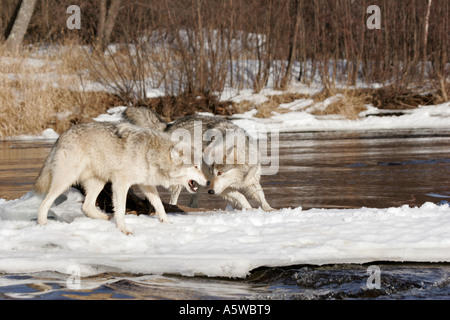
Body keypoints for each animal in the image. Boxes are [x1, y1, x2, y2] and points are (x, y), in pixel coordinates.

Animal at [34, 121, 207, 234]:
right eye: (195, 167)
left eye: (200, 167)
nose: (207, 181)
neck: (152, 154)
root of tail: (61, 136)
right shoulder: (121, 183)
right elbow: (122, 209)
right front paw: (123, 229)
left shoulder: (146, 185)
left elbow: (159, 205)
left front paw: (167, 222)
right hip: (66, 181)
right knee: (44, 203)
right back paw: (43, 225)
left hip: (99, 182)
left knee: (87, 207)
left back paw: (106, 218)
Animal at [121, 107, 272, 211]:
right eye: (213, 172)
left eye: (220, 173)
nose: (210, 192)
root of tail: (170, 125)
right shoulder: (221, 188)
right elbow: (241, 197)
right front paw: (250, 210)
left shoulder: (252, 181)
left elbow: (262, 198)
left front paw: (269, 210)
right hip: (181, 182)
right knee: (173, 200)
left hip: (198, 182)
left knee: (192, 202)